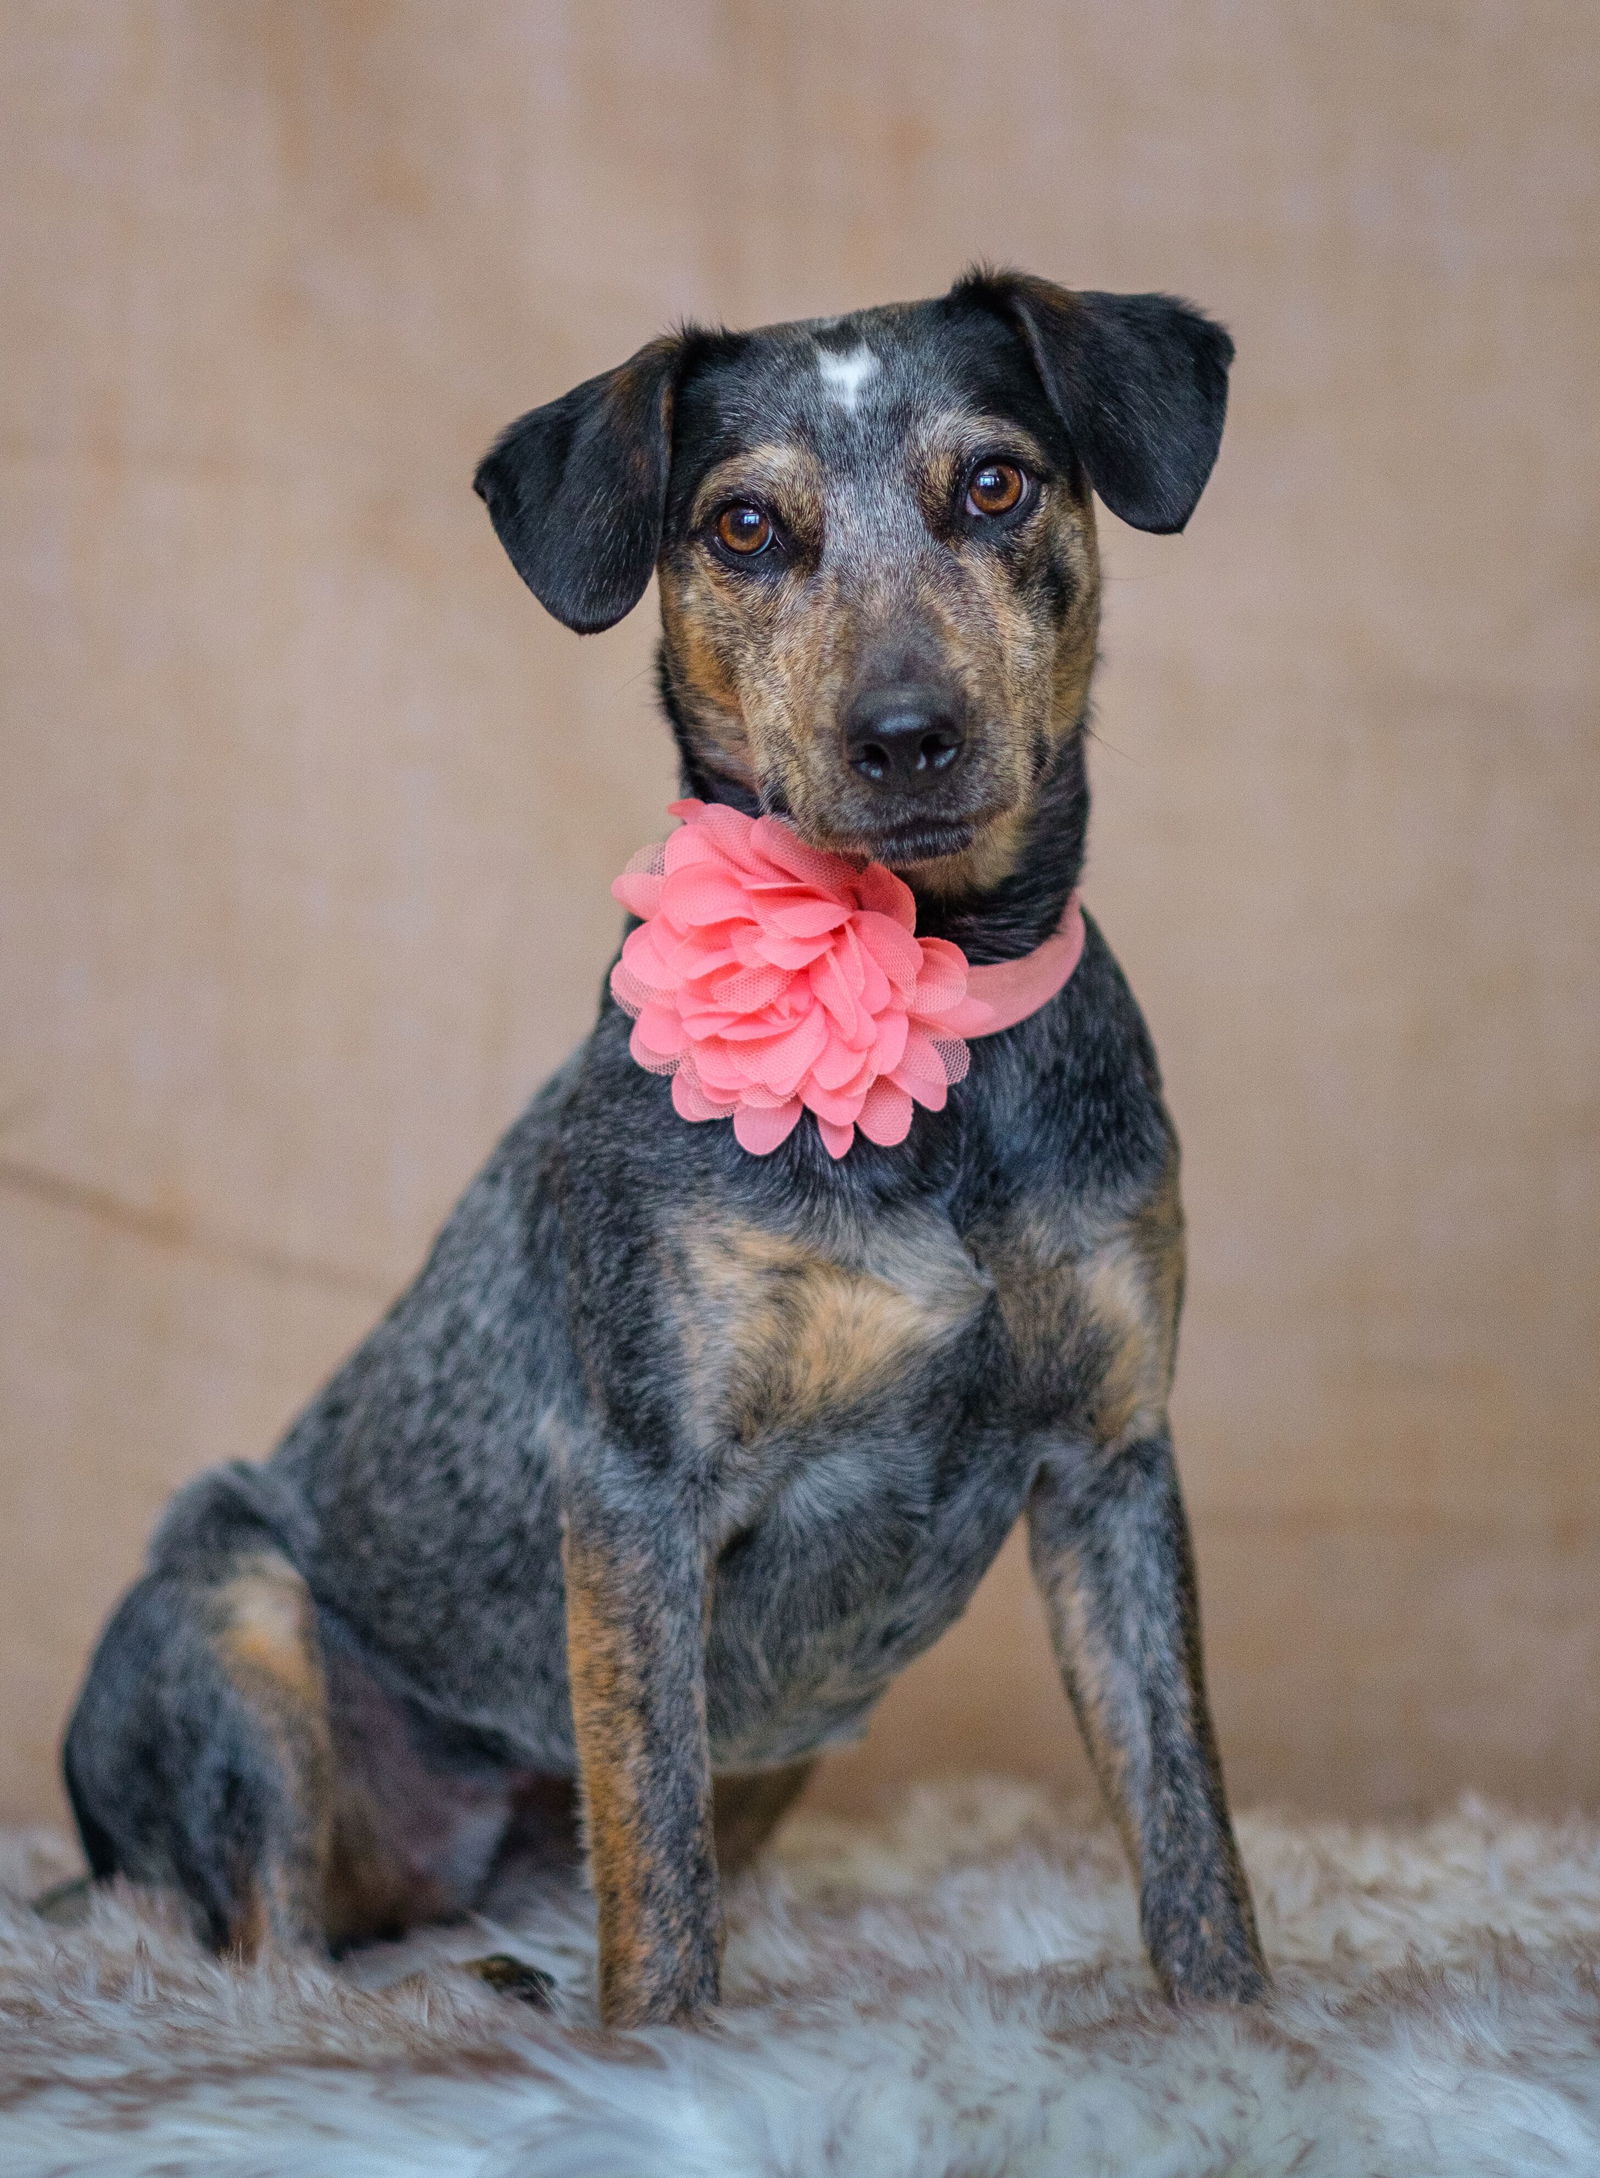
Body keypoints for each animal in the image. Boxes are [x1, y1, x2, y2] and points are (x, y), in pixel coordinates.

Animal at [62, 267, 1271, 2021]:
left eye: (995, 484)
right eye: (745, 526)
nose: (905, 732)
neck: (922, 1004)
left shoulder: (1114, 1465)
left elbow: (1187, 1826)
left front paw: (1237, 2032)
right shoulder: (639, 1485)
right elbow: (657, 1860)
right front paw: (663, 2047)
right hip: (230, 1614)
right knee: (266, 1951)